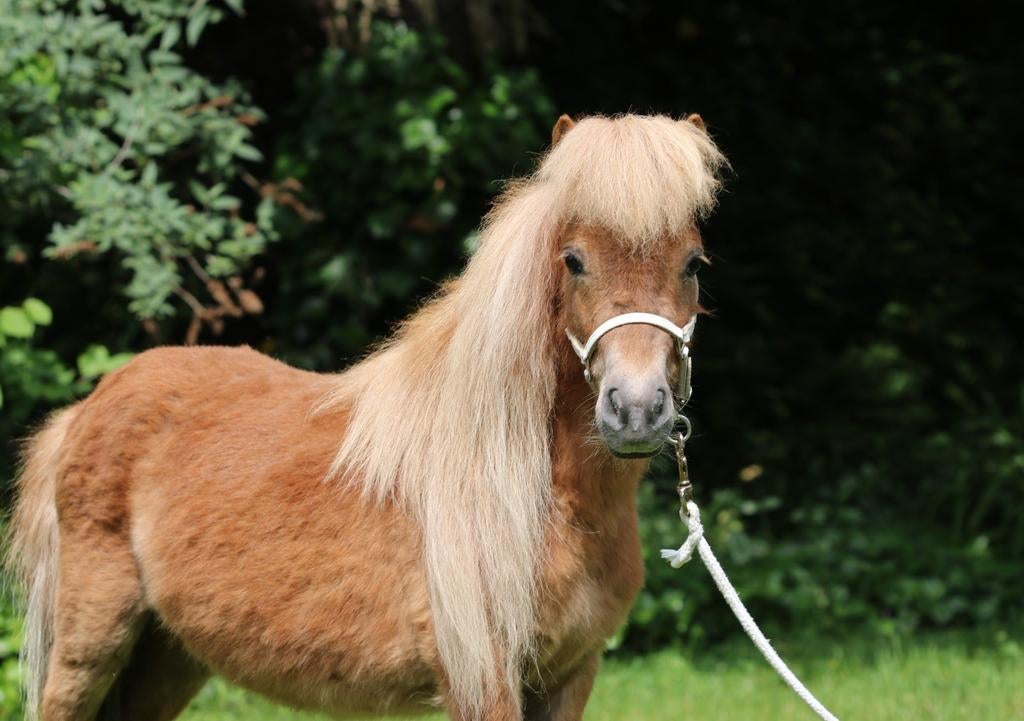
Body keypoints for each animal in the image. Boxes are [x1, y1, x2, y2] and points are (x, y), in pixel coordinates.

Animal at [6, 112, 726, 721]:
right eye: (574, 260)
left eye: (693, 263)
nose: (636, 409)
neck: (537, 492)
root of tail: (88, 407)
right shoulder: (482, 681)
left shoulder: (571, 676)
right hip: (92, 642)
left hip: (169, 654)